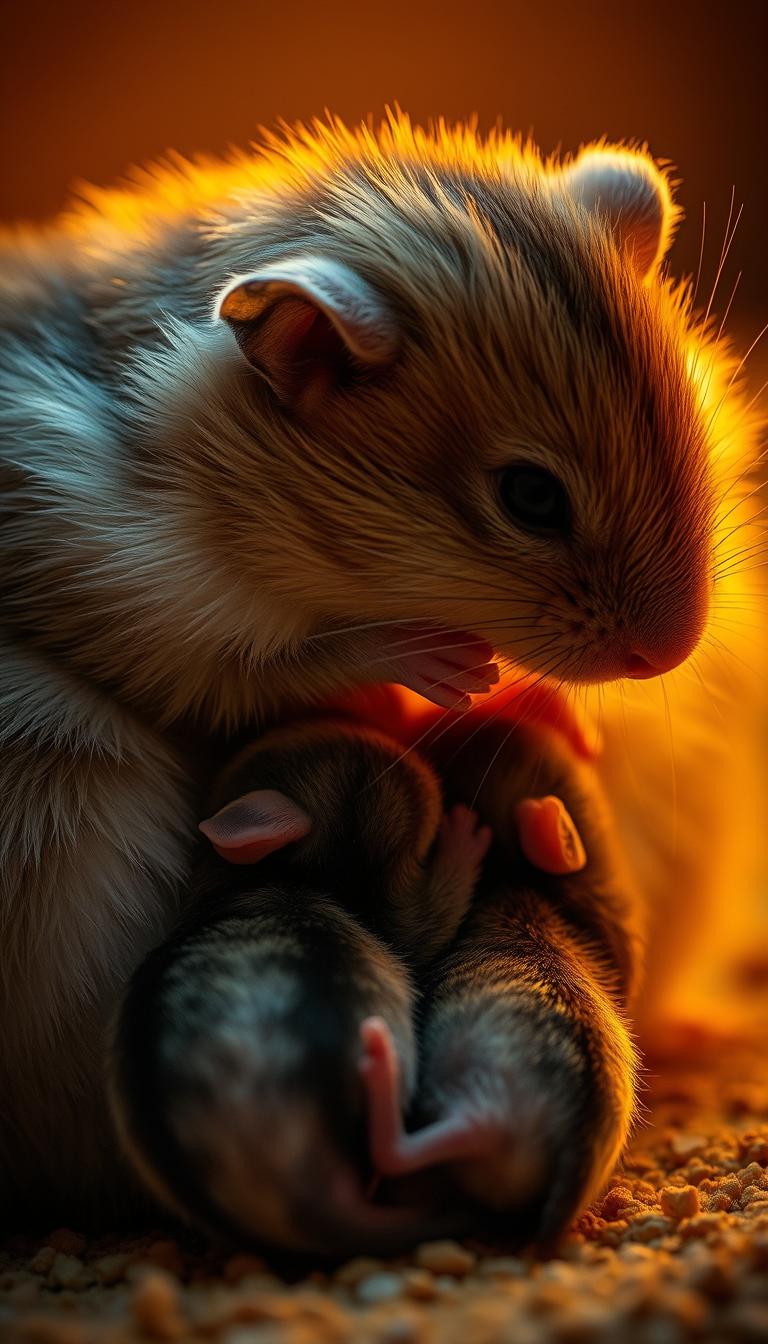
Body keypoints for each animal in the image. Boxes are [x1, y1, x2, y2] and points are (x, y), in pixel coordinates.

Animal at [110, 715, 491, 1252]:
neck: (264, 876)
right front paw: (465, 832)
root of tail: (302, 1202)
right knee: (388, 1153)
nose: (401, 740)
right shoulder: (393, 920)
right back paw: (382, 1068)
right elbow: (429, 920)